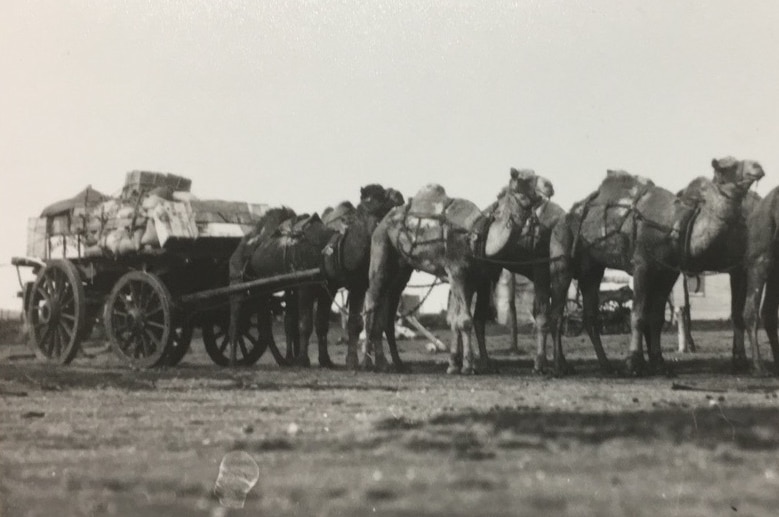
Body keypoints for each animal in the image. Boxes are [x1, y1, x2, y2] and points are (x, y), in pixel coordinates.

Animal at [366, 169, 556, 374]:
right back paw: (370, 361)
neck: (476, 235)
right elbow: (464, 320)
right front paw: (467, 365)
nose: (549, 185)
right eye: (523, 178)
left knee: (387, 306)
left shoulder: (476, 279)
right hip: (381, 246)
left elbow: (465, 320)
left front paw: (464, 363)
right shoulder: (457, 272)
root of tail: (383, 221)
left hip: (401, 268)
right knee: (372, 298)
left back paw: (396, 363)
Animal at [552, 157, 764, 374]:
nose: (757, 167)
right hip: (562, 255)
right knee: (558, 312)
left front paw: (658, 362)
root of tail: (568, 215)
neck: (672, 224)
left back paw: (606, 365)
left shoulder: (667, 271)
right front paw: (634, 362)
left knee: (590, 315)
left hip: (592, 268)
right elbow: (637, 315)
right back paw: (561, 365)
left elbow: (656, 317)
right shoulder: (642, 266)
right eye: (728, 167)